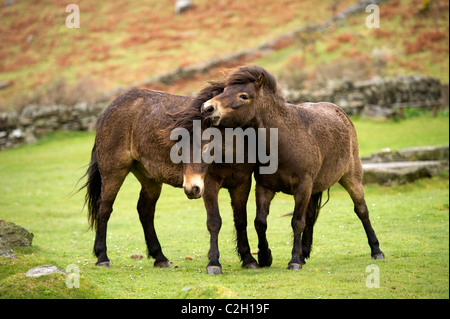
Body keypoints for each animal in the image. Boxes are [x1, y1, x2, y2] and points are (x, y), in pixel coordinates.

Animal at [80, 88, 256, 276]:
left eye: (206, 147)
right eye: (181, 149)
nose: (191, 188)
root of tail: (108, 109)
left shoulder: (243, 183)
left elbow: (241, 220)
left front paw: (249, 259)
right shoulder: (208, 185)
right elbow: (214, 221)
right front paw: (214, 263)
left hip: (150, 179)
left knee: (145, 211)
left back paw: (159, 257)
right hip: (113, 172)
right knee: (104, 209)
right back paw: (102, 257)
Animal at [193, 65, 384, 270]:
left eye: (243, 96)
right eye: (224, 90)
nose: (207, 108)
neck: (282, 142)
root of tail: (341, 113)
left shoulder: (303, 186)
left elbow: (297, 222)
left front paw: (294, 260)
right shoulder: (265, 187)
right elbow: (260, 222)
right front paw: (265, 256)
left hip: (351, 178)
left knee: (361, 210)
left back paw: (376, 250)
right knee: (311, 216)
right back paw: (304, 253)